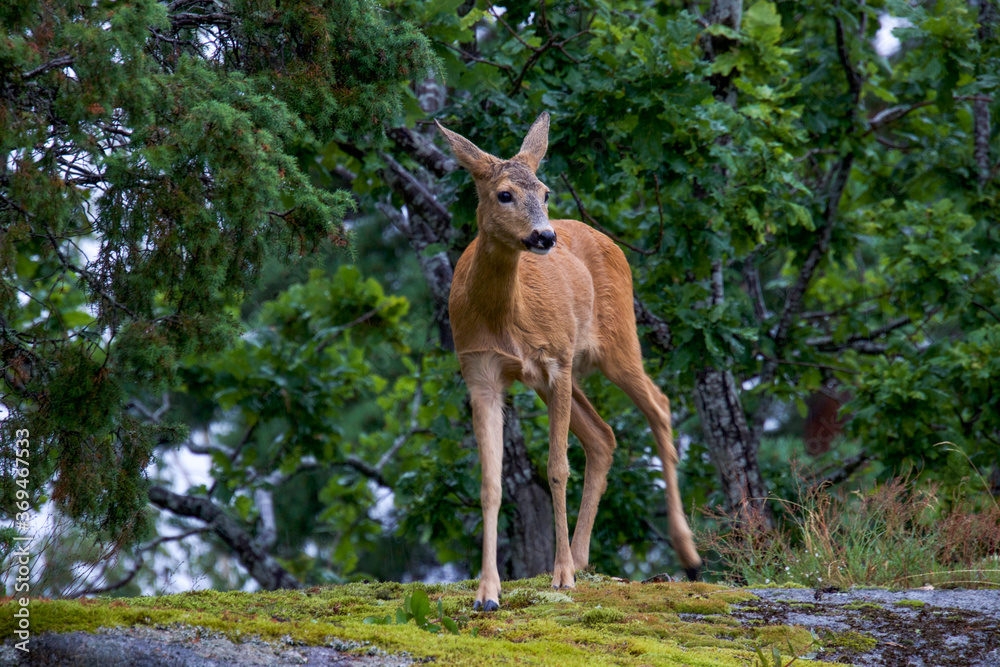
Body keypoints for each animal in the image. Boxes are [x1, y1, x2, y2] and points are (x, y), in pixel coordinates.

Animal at [438, 112, 704, 612]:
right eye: (504, 194)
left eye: (544, 191)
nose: (544, 236)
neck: (505, 315)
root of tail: (608, 240)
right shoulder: (480, 371)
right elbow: (490, 482)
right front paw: (487, 592)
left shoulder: (555, 361)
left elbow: (557, 469)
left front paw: (560, 577)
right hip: (556, 377)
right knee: (602, 435)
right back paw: (582, 558)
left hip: (616, 341)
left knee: (658, 405)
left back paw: (686, 554)